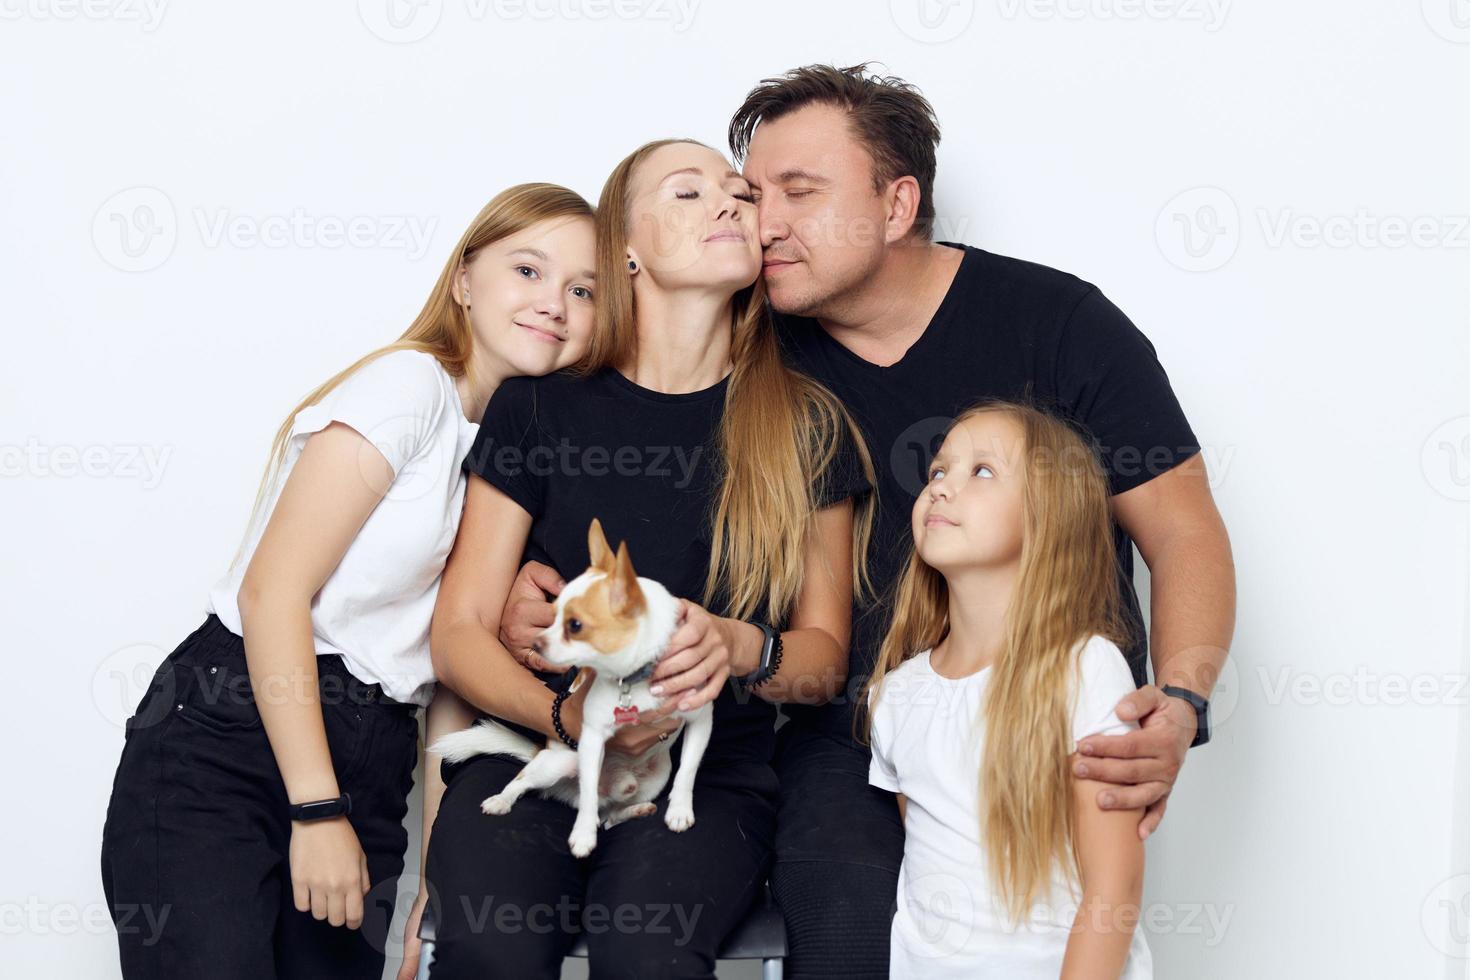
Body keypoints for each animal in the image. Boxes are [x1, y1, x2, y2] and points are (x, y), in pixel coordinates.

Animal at [429, 520, 714, 858]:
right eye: (552, 615)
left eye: (575, 625)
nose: (536, 642)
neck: (635, 679)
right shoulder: (591, 738)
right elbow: (588, 795)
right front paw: (582, 836)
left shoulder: (701, 722)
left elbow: (689, 769)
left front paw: (680, 810)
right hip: (557, 763)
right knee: (526, 782)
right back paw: (501, 800)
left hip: (656, 776)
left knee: (610, 816)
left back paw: (635, 810)